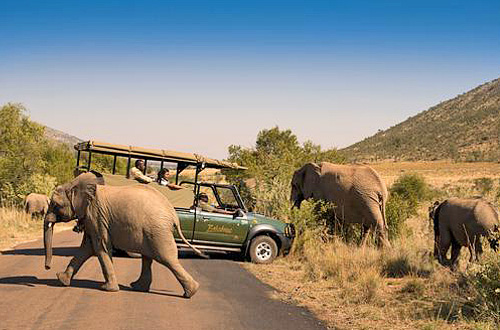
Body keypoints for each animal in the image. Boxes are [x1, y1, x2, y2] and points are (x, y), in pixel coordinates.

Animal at [44, 171, 206, 298]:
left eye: (55, 205)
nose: (47, 268)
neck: (75, 184)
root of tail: (173, 213)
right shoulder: (92, 218)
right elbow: (86, 249)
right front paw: (61, 279)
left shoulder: (96, 215)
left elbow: (100, 248)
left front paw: (107, 289)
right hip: (152, 231)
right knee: (148, 258)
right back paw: (138, 287)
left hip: (157, 230)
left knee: (166, 258)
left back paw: (191, 292)